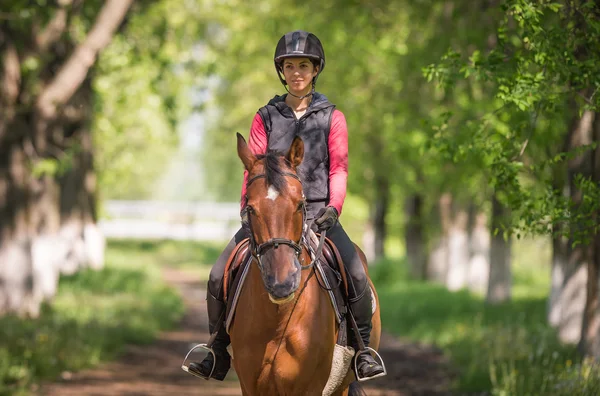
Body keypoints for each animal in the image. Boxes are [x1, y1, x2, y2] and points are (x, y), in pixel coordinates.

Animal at [230, 134, 380, 396]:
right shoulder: (250, 387)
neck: (278, 320)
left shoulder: (310, 388)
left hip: (341, 384)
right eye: (249, 208)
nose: (282, 283)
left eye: (300, 205)